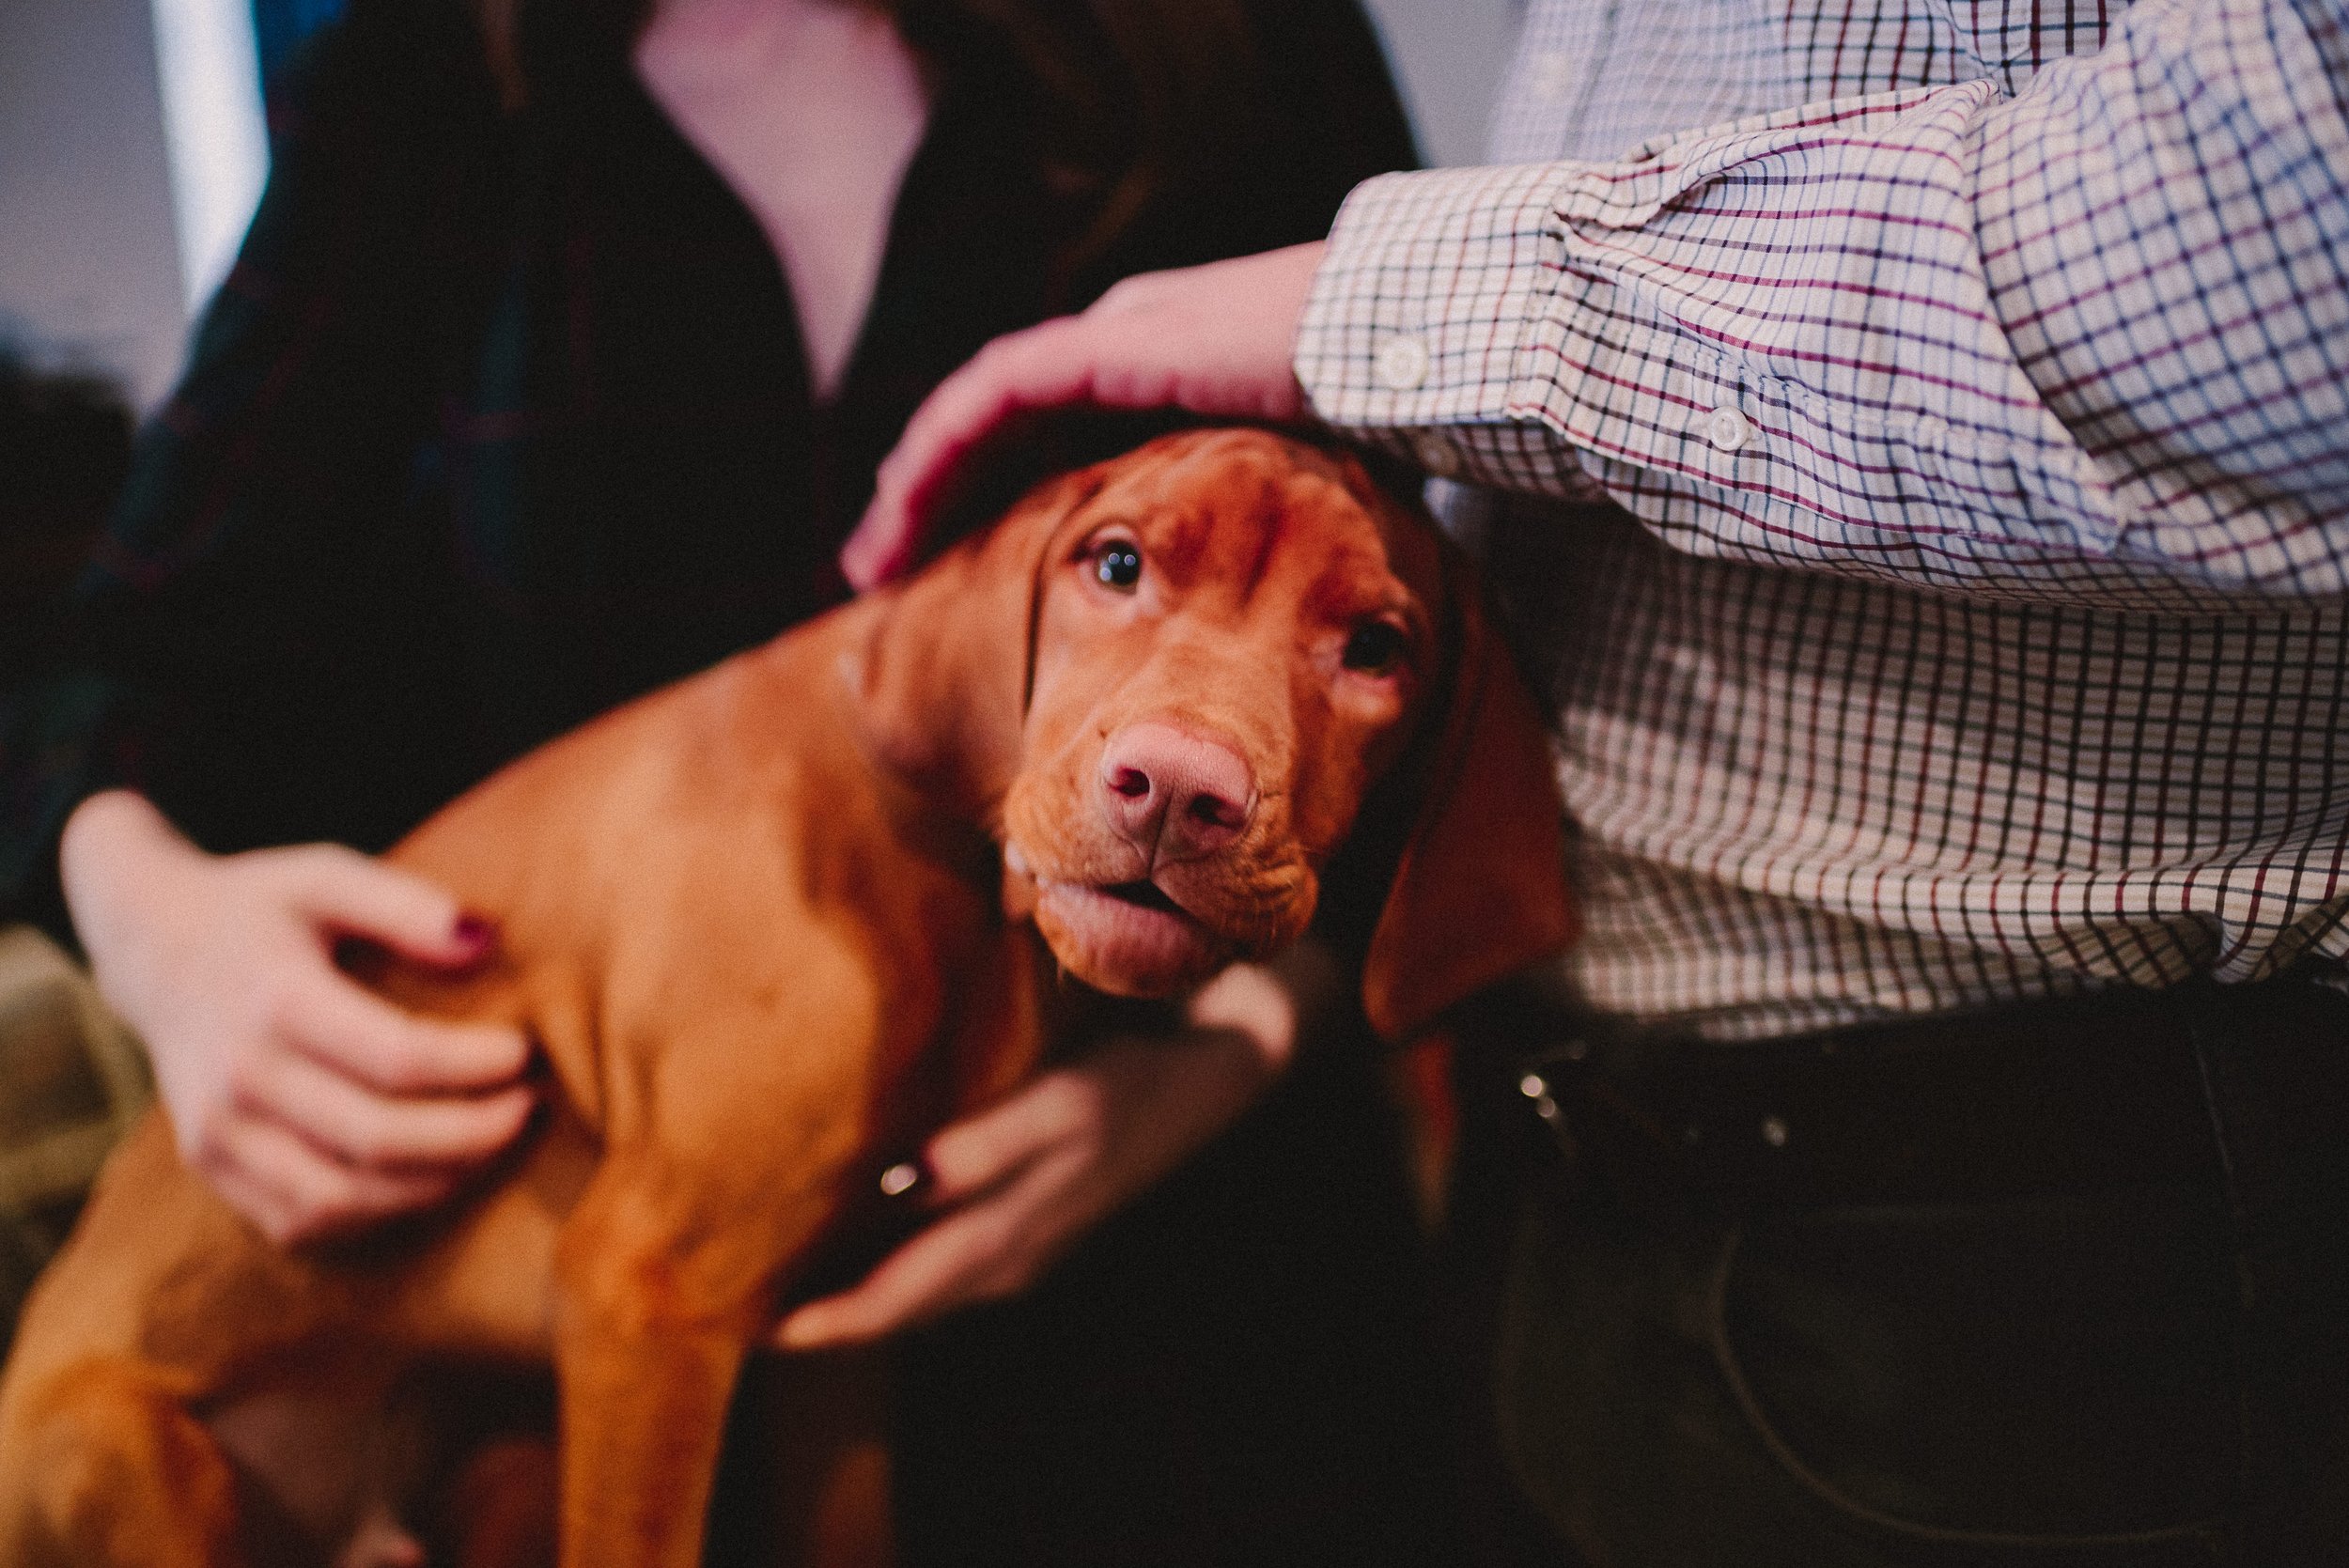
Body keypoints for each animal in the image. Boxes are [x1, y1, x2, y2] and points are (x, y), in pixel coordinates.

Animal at [4, 429, 1579, 1568]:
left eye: (1376, 649)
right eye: (1118, 565)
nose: (1180, 790)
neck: (953, 890)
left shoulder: (832, 1336)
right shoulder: (647, 1296)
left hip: (501, 1460)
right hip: (127, 1454)